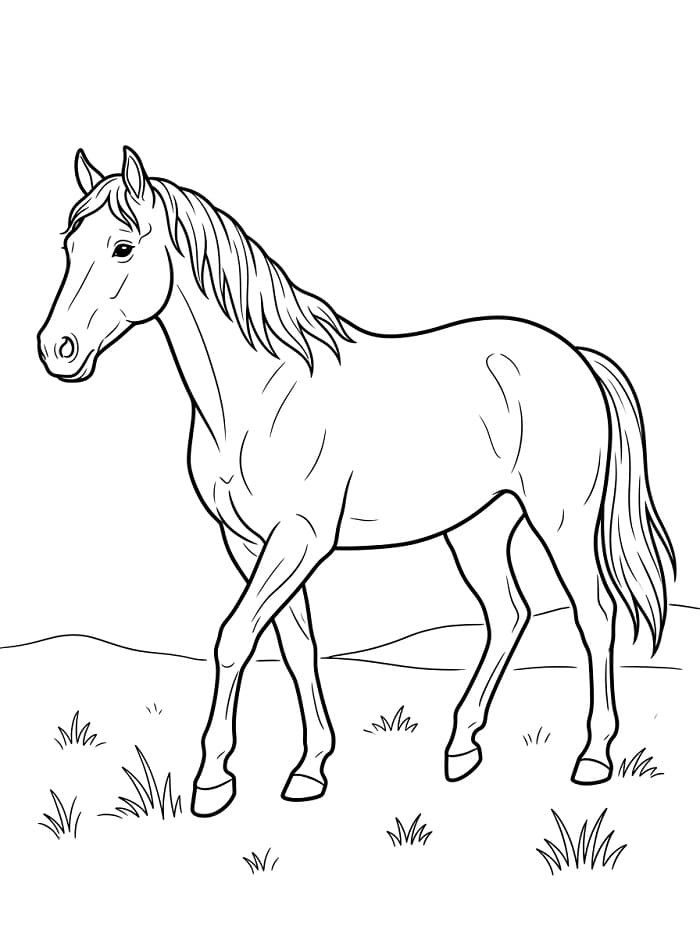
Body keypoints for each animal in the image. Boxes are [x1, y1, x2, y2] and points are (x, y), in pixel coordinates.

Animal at [38, 146, 675, 818]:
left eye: (123, 247)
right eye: (69, 244)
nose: (57, 349)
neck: (260, 395)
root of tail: (577, 357)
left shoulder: (299, 538)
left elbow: (234, 638)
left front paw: (212, 781)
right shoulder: (251, 542)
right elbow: (297, 647)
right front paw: (309, 769)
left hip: (562, 523)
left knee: (594, 615)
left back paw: (593, 758)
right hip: (478, 528)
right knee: (508, 615)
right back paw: (460, 749)